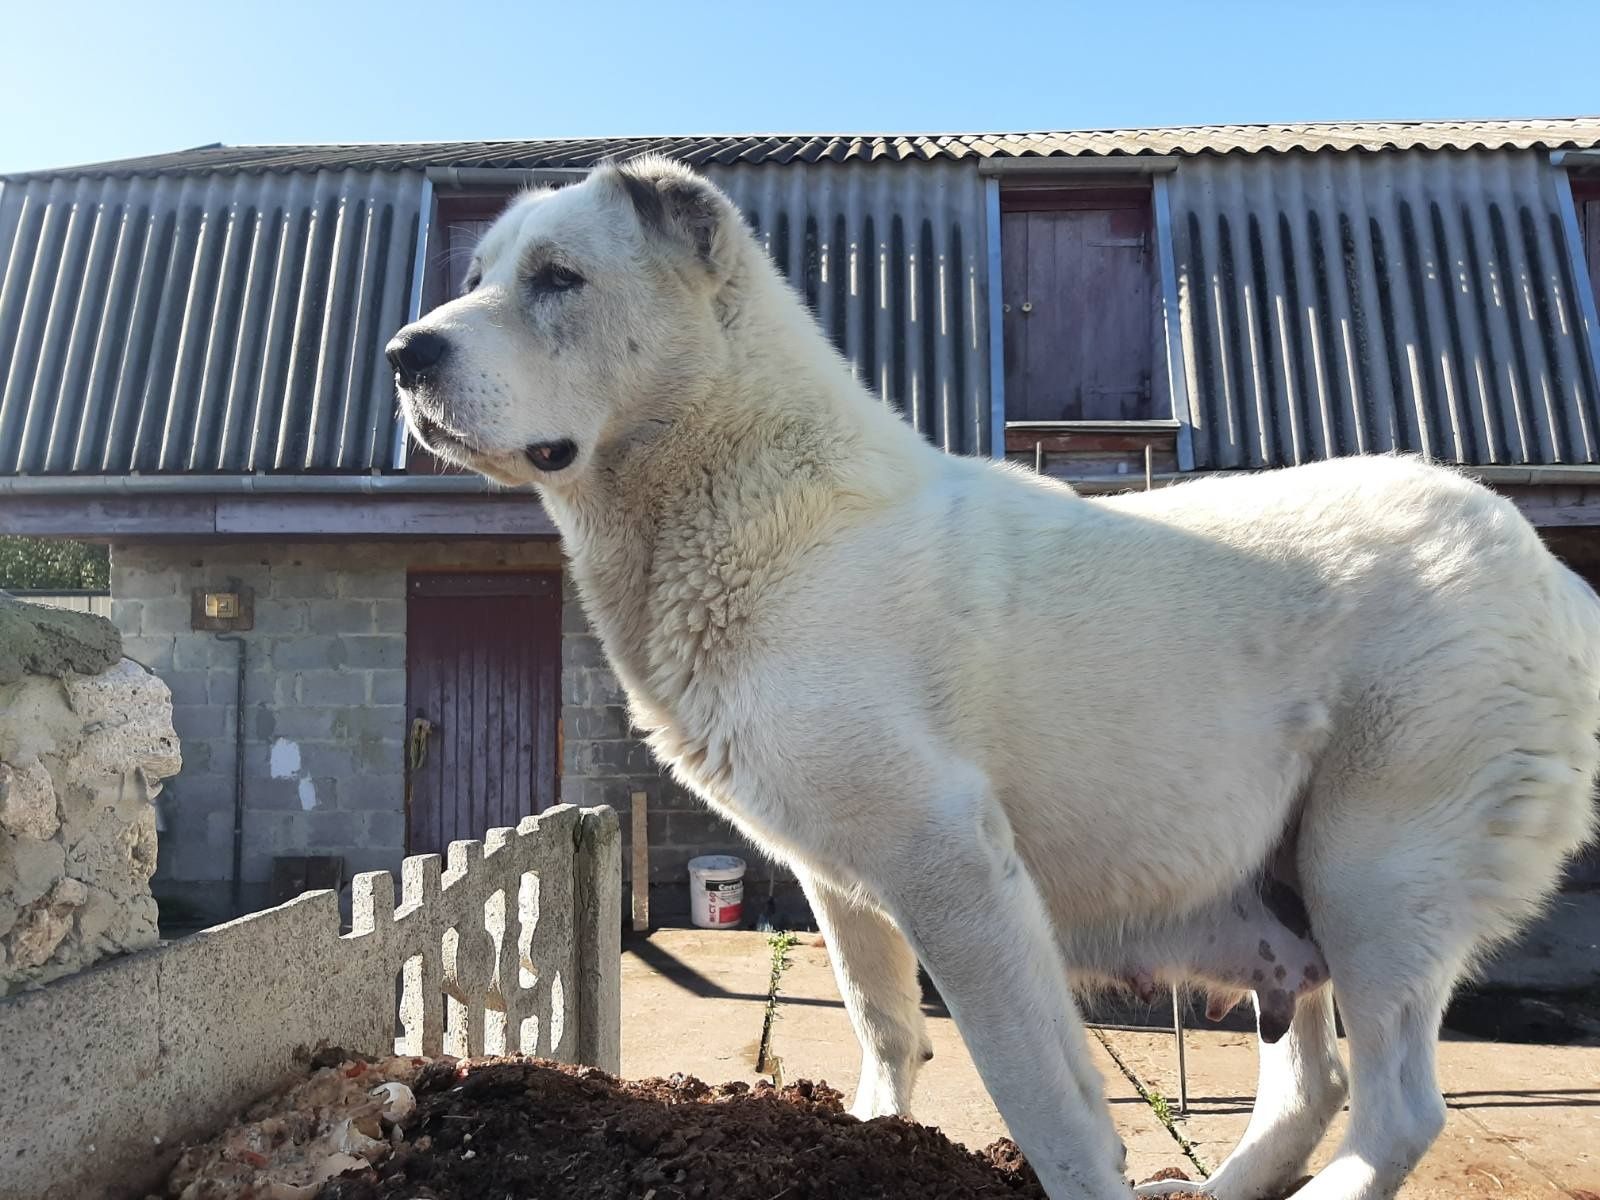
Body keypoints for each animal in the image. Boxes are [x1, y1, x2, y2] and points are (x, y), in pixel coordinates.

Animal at [387, 162, 1600, 1200]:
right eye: (478, 275)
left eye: (557, 279)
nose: (404, 354)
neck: (755, 498)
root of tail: (1550, 576)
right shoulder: (839, 878)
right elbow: (885, 1031)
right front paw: (871, 1135)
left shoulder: (953, 864)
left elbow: (1040, 1093)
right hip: (1291, 890)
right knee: (1314, 1088)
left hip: (1374, 872)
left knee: (1395, 1110)